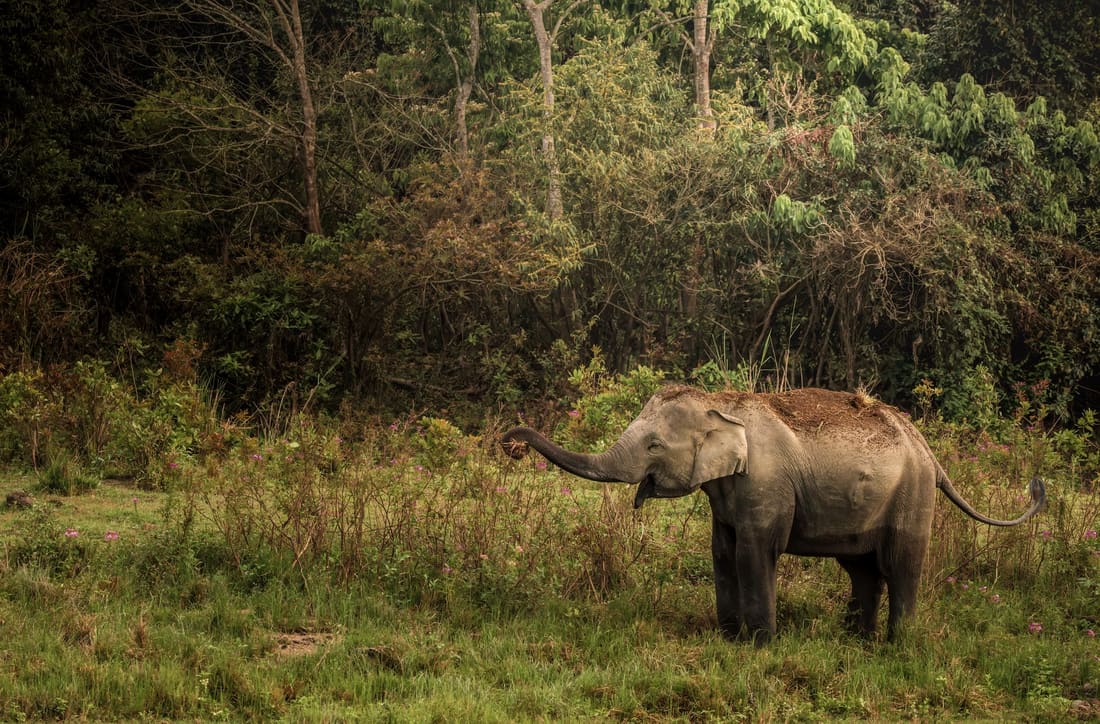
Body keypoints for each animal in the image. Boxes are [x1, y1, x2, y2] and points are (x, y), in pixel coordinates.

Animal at [501, 385, 1045, 644]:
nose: (510, 442)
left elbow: (754, 551)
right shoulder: (726, 495)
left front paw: (759, 646)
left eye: (655, 444)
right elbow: (722, 551)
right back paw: (856, 641)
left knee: (902, 565)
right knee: (863, 570)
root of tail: (928, 452)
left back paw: (897, 645)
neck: (722, 403)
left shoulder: (765, 484)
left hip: (911, 496)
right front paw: (727, 639)